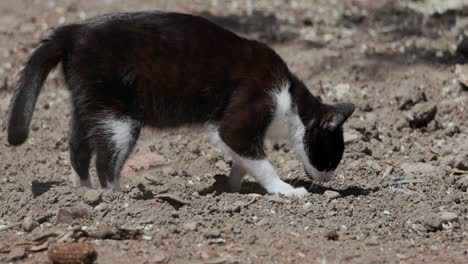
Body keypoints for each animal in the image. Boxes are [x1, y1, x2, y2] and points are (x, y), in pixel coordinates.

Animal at [7, 10, 352, 196]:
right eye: (332, 156)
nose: (329, 177)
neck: (289, 102)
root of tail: (72, 31)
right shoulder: (245, 111)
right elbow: (258, 159)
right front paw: (284, 190)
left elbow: (242, 159)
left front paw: (233, 186)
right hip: (119, 117)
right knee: (106, 160)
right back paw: (116, 198)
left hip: (88, 104)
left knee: (78, 146)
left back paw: (85, 191)